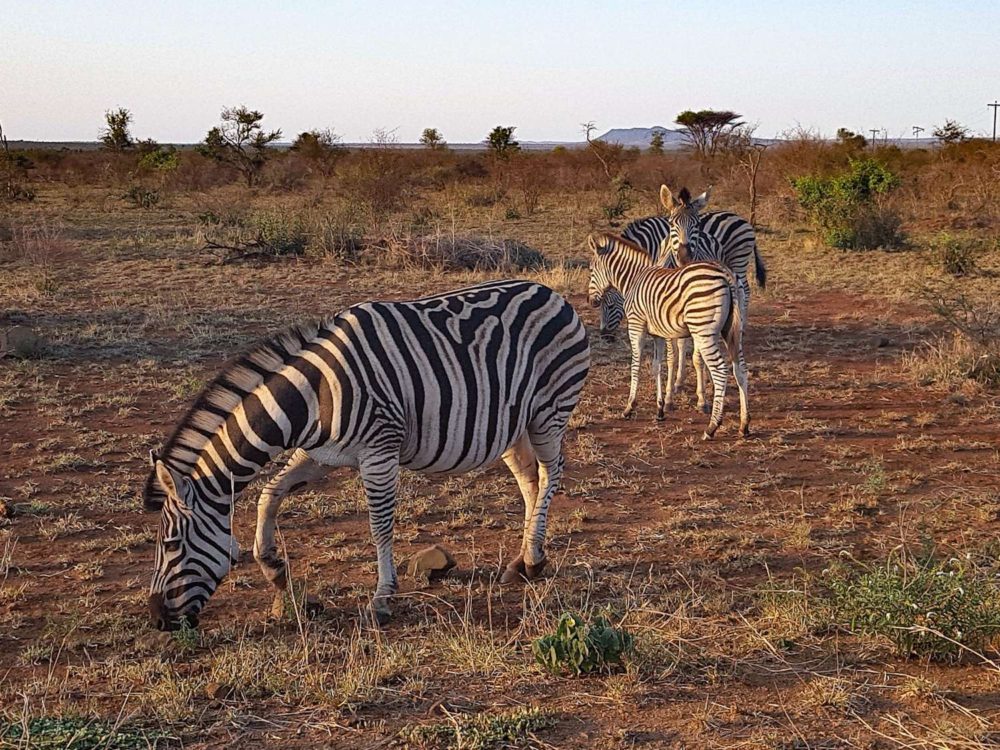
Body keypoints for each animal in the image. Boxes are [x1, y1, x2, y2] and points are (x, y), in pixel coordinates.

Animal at [144, 280, 590, 630]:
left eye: (171, 545)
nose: (157, 620)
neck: (312, 397)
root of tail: (552, 294)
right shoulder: (320, 454)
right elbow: (269, 495)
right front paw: (273, 568)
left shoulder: (379, 450)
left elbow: (379, 526)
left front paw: (383, 598)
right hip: (511, 424)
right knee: (529, 479)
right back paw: (525, 560)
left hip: (549, 410)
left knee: (551, 473)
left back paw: (534, 556)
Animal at [587, 232, 749, 439]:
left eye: (591, 270)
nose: (590, 300)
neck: (633, 280)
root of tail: (725, 274)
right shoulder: (657, 333)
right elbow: (657, 366)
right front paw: (660, 409)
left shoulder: (636, 325)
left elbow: (636, 366)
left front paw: (629, 407)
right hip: (732, 330)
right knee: (740, 369)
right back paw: (744, 425)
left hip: (703, 331)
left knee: (720, 370)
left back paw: (712, 427)